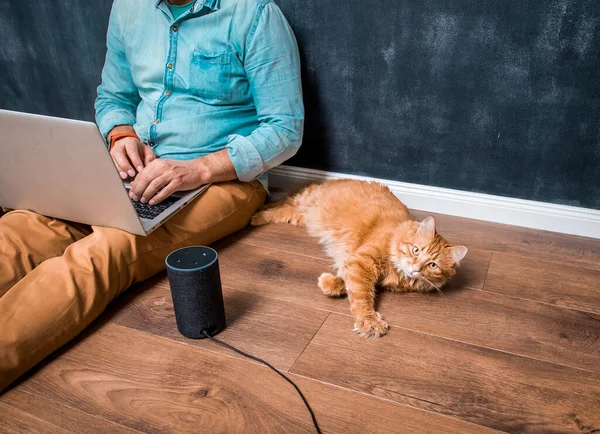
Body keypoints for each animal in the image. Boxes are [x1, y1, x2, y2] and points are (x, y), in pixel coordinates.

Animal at [251, 179, 466, 340]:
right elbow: (362, 296)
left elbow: (347, 283)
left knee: (283, 206)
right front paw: (369, 322)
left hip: (300, 216)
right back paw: (256, 215)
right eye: (416, 250)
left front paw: (328, 284)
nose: (415, 268)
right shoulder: (362, 262)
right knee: (282, 202)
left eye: (432, 265)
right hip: (304, 204)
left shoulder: (356, 265)